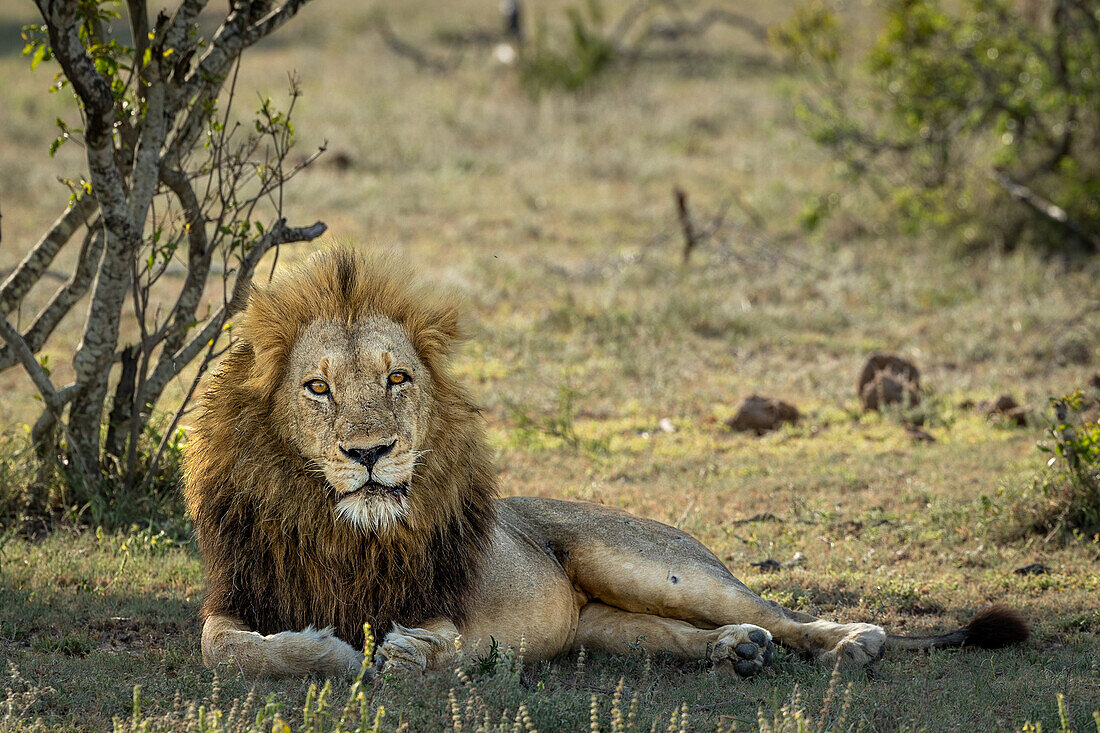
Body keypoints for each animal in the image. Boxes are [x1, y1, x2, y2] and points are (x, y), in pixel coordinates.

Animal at [182, 248, 1029, 677]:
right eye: (317, 386)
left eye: (398, 378)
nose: (369, 452)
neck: (341, 530)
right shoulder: (234, 596)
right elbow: (229, 649)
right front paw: (325, 647)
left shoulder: (450, 602)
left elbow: (438, 639)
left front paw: (400, 649)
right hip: (604, 625)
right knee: (682, 637)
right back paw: (734, 651)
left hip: (649, 563)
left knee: (784, 614)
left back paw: (853, 641)